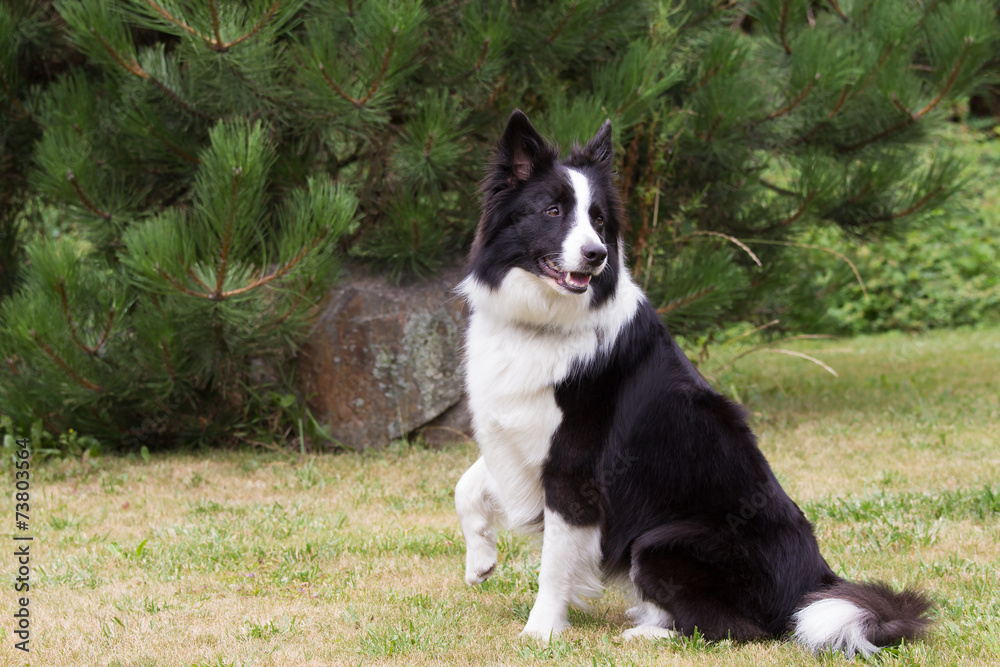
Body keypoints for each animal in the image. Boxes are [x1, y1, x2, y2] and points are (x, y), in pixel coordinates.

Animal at [454, 111, 928, 656]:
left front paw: (541, 631)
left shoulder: (573, 471)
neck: (544, 322)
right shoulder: (517, 438)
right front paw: (480, 561)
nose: (596, 255)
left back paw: (646, 632)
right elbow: (466, 485)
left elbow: (554, 564)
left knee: (736, 630)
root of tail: (815, 584)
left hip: (659, 542)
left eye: (599, 220)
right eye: (552, 210)